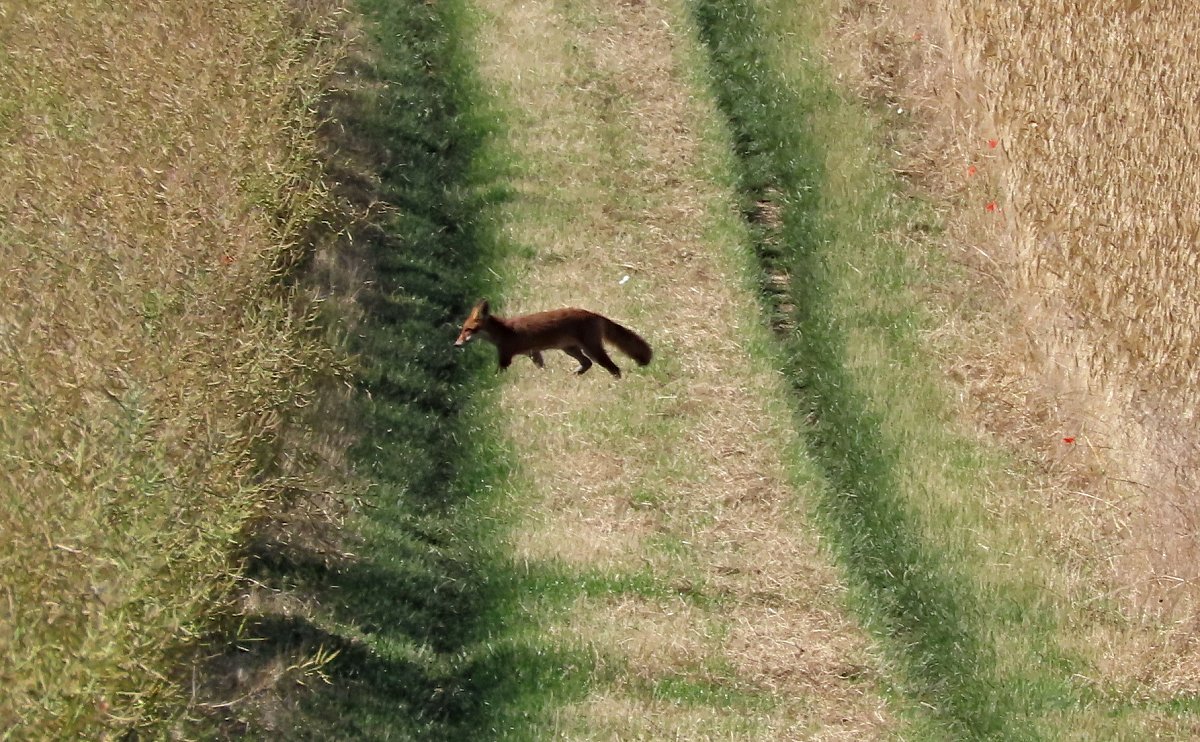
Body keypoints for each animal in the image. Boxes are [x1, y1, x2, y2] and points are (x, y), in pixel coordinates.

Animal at [453, 297, 652, 374]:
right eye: (462, 330)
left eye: (468, 330)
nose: (456, 344)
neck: (503, 331)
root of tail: (592, 313)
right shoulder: (534, 353)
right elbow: (541, 366)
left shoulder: (506, 356)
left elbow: (498, 372)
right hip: (570, 349)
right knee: (587, 363)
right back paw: (576, 374)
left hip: (592, 349)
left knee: (613, 367)